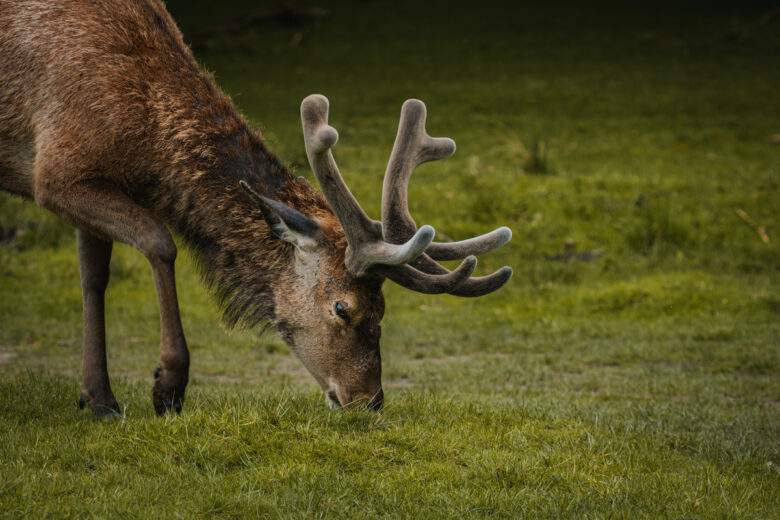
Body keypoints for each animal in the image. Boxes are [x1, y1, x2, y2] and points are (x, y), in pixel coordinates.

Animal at [0, 0, 516, 414]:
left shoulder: (88, 179)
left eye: (384, 309)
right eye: (342, 308)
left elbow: (93, 278)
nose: (369, 401)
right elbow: (159, 242)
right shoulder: (57, 173)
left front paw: (99, 399)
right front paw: (167, 386)